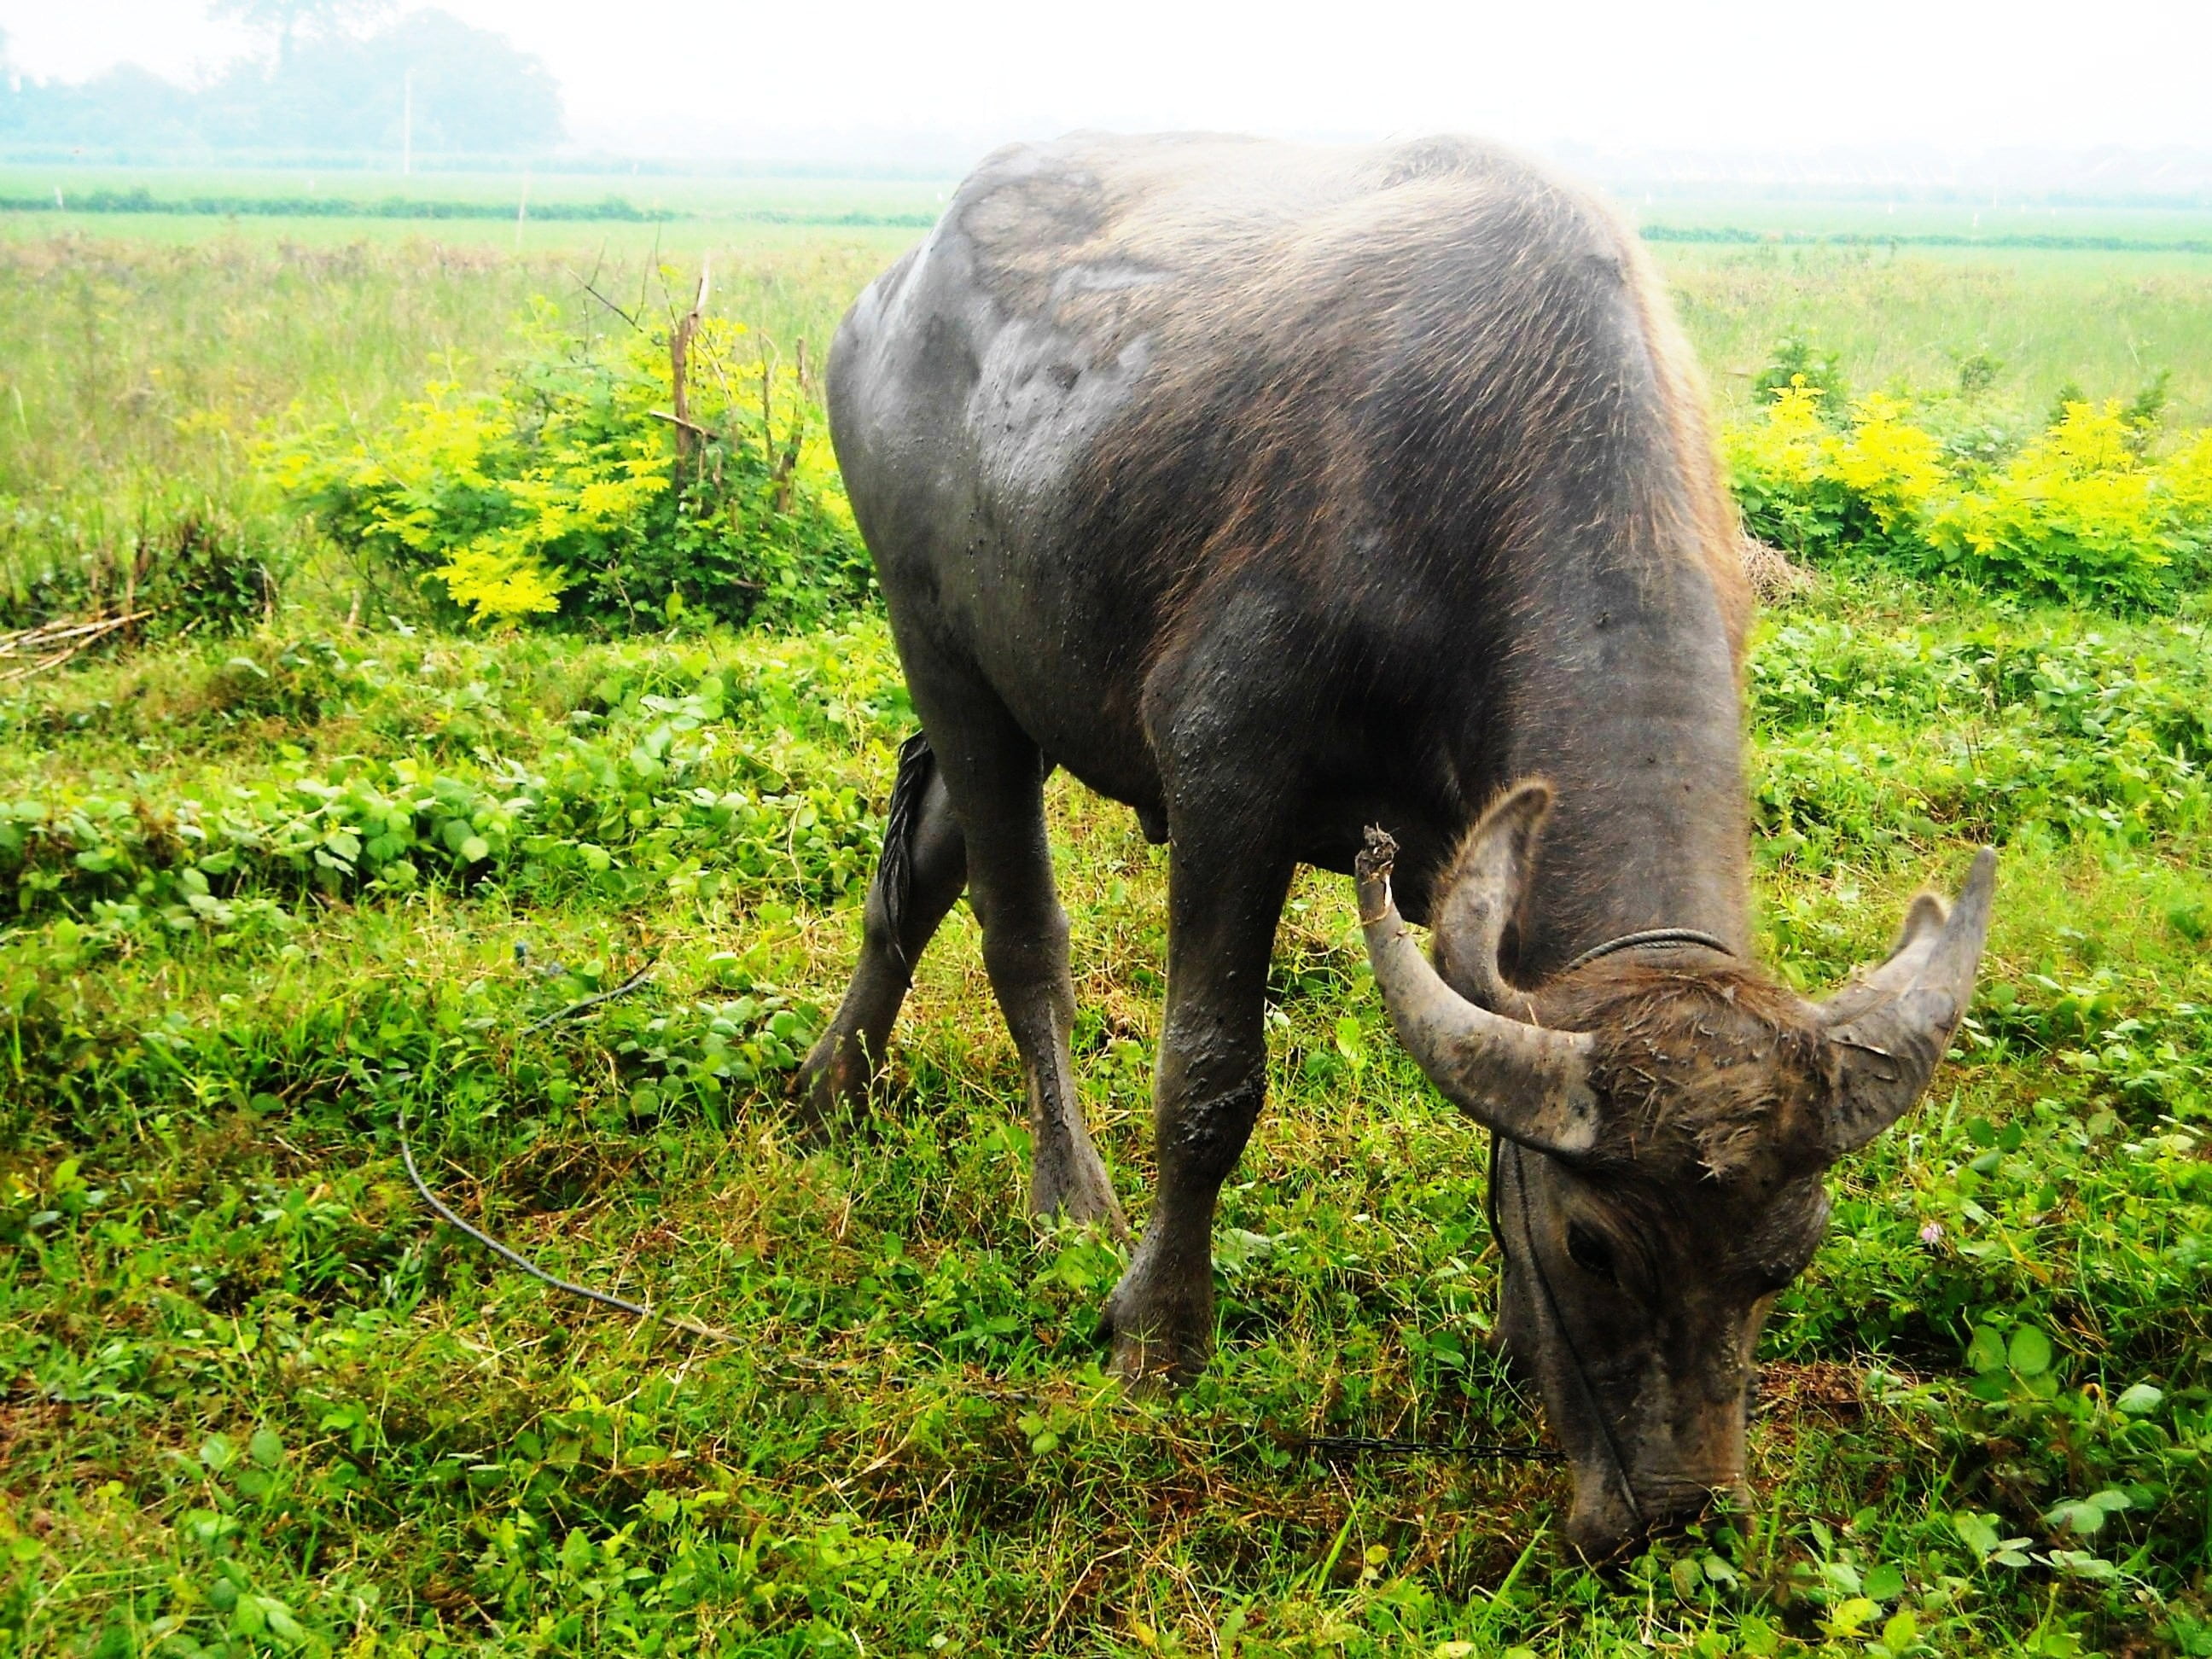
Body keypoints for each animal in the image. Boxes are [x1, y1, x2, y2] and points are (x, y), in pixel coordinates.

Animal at [797, 132, 1993, 1556]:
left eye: (1789, 1256)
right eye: (1595, 1245)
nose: (1677, 1512)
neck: (1482, 458)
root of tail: (893, 293)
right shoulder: (1228, 775)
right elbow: (1209, 1078)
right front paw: (1158, 1333)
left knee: (921, 867)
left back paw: (830, 1083)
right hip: (943, 647)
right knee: (1020, 933)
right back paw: (1065, 1195)